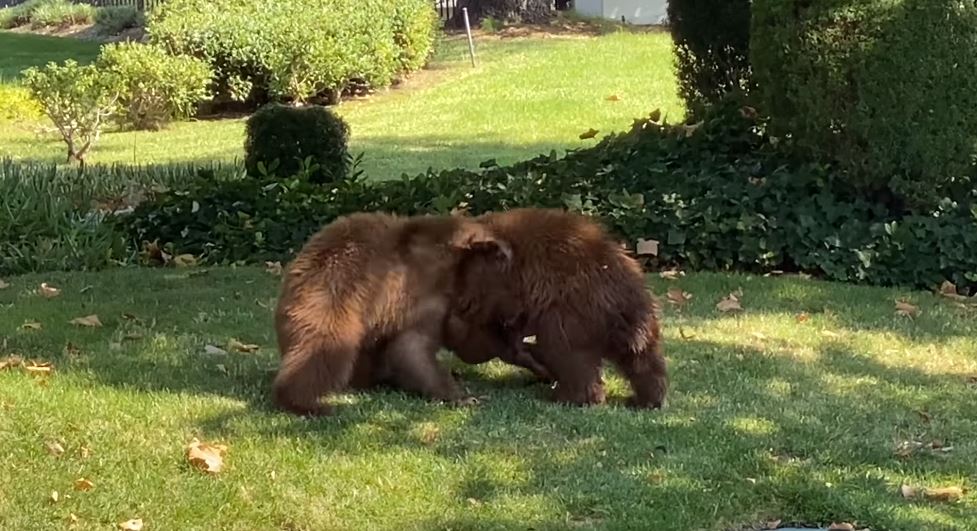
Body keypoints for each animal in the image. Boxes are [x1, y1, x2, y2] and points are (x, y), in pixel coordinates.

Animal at [272, 211, 510, 417]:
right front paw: (463, 397)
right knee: (324, 349)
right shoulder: (420, 292)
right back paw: (306, 402)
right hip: (332, 296)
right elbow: (413, 345)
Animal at [443, 208, 667, 409]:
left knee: (569, 354)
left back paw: (571, 397)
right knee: (642, 359)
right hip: (637, 315)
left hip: (573, 312)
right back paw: (647, 400)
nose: (461, 304)